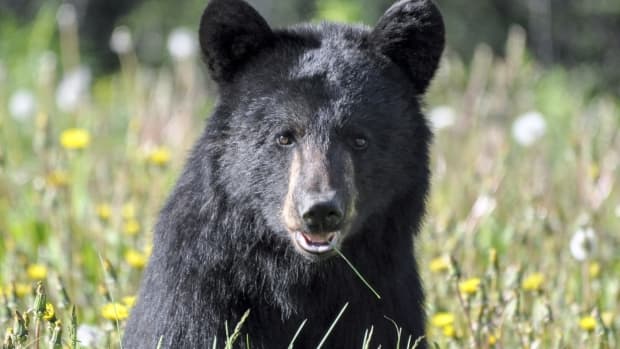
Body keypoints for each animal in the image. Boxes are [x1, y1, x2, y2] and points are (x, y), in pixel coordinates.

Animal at [123, 0, 444, 346]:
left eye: (359, 139)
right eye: (284, 136)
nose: (320, 211)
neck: (299, 280)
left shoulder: (386, 295)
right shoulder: (197, 293)